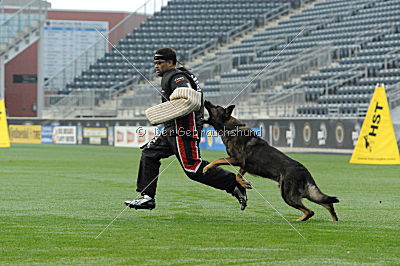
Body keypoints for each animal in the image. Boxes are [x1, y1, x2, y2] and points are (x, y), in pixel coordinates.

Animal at [205, 101, 340, 221]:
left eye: (216, 107)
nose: (206, 100)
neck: (231, 128)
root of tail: (303, 170)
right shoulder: (244, 165)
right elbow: (238, 176)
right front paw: (244, 183)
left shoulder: (238, 159)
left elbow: (218, 160)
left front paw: (206, 167)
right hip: (306, 193)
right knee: (327, 203)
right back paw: (334, 221)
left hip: (288, 195)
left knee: (310, 211)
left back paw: (298, 220)